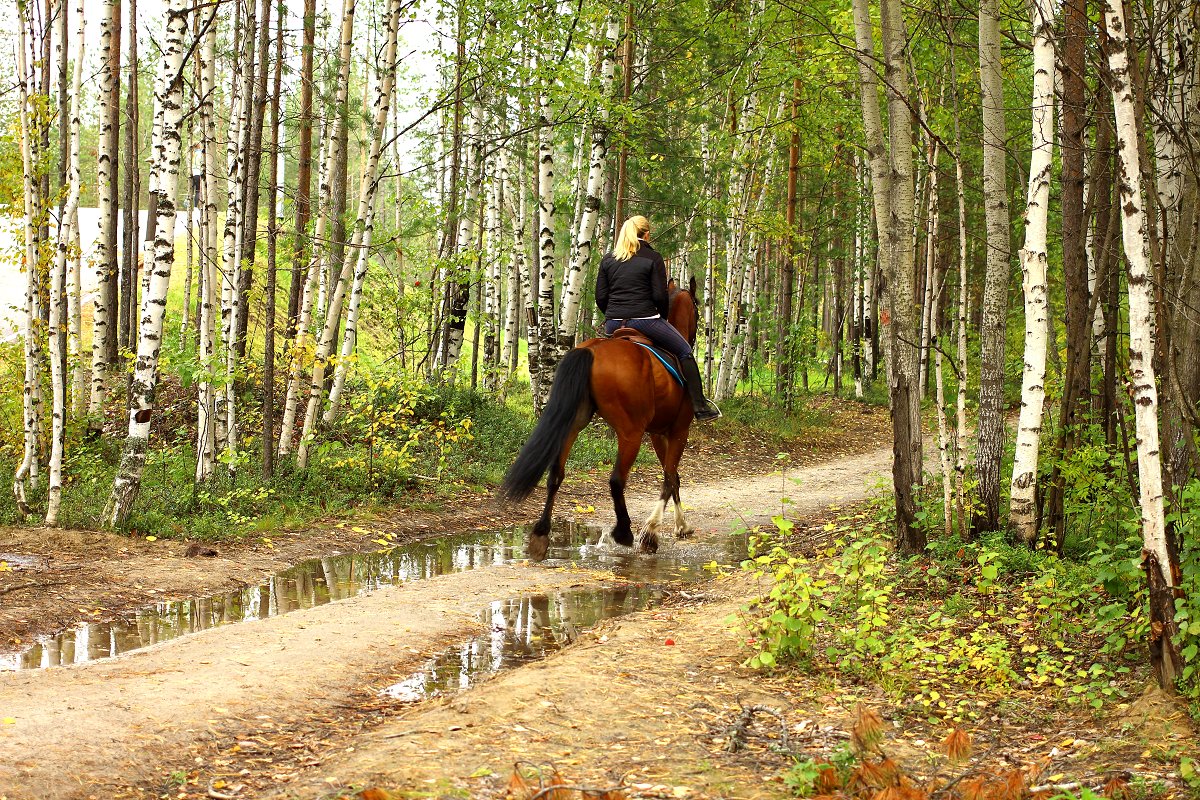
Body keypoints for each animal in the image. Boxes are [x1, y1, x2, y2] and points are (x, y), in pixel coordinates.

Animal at [499, 281, 700, 563]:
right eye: (697, 309)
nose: (694, 338)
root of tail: (590, 350)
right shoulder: (679, 430)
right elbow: (670, 477)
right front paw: (654, 533)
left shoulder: (659, 433)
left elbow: (672, 476)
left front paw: (678, 527)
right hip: (630, 432)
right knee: (616, 480)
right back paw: (624, 532)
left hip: (573, 424)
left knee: (556, 474)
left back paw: (540, 535)